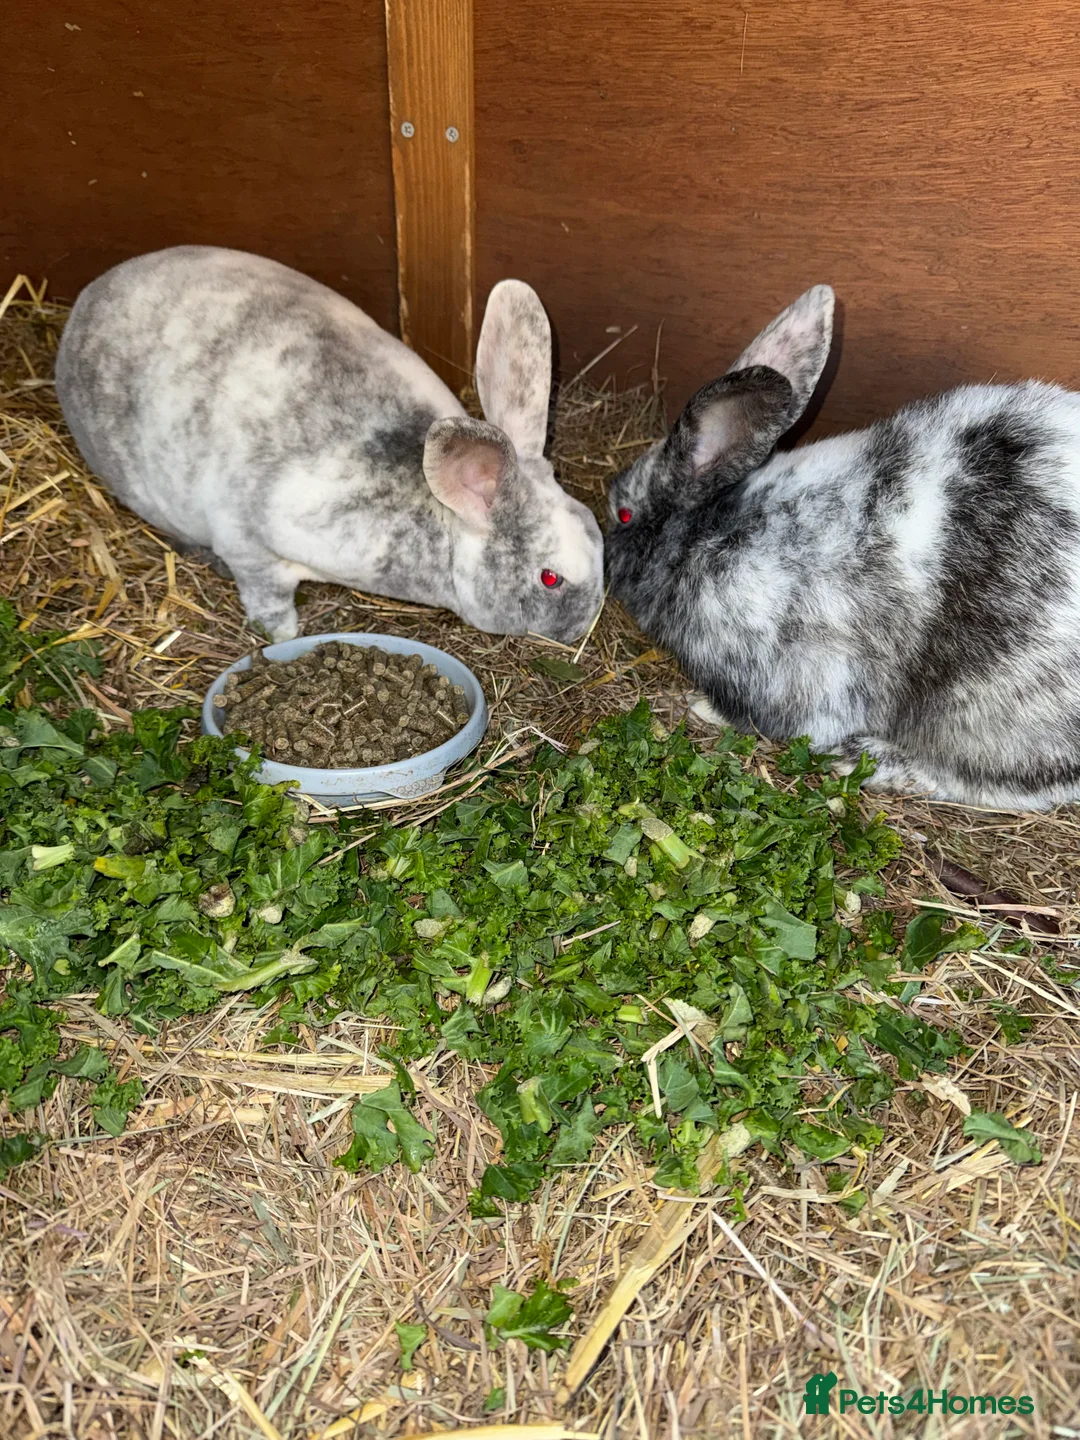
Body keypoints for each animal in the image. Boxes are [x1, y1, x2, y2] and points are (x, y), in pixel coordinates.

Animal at [55, 246, 603, 646]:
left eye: (596, 533)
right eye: (549, 578)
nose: (582, 630)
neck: (435, 508)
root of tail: (91, 294)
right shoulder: (250, 547)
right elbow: (268, 599)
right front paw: (283, 637)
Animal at [605, 284, 1080, 810]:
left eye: (623, 515)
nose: (604, 551)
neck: (707, 532)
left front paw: (703, 708)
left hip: (990, 711)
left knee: (1010, 783)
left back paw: (871, 760)